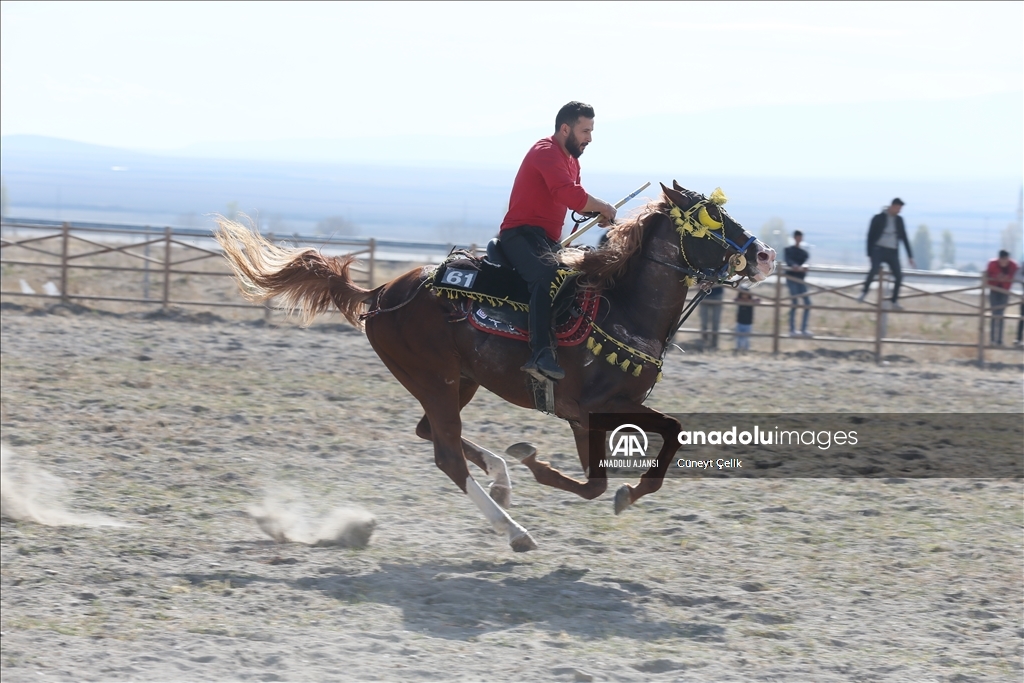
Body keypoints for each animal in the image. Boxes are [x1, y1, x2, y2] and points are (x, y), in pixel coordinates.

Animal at [216, 181, 774, 548]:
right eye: (713, 219)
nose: (765, 254)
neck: (622, 308)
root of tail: (382, 293)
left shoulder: (596, 413)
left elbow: (617, 470)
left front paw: (603, 486)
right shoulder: (589, 409)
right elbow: (611, 470)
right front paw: (538, 464)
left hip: (457, 380)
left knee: (429, 433)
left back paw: (503, 479)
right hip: (435, 378)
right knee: (446, 455)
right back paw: (514, 529)